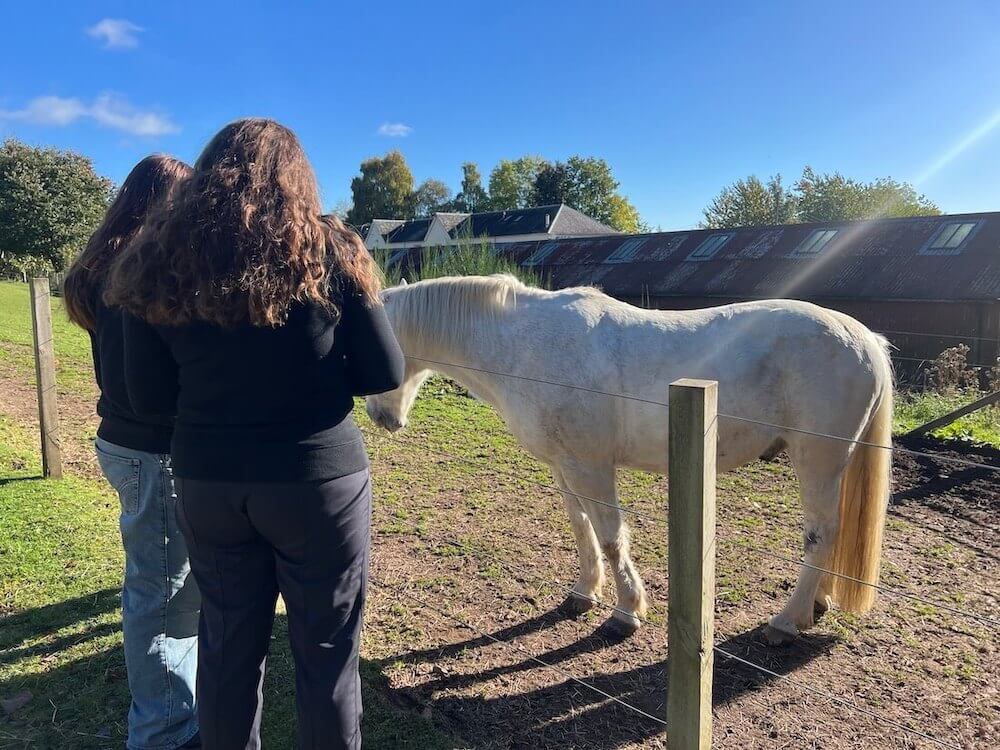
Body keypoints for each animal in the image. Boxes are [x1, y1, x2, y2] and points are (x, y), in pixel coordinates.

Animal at [366, 275, 893, 644]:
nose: (380, 417)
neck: (524, 346)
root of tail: (865, 338)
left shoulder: (592, 466)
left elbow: (611, 536)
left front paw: (626, 613)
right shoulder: (564, 465)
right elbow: (581, 528)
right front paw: (583, 593)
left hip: (818, 460)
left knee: (820, 534)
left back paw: (785, 621)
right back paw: (816, 604)